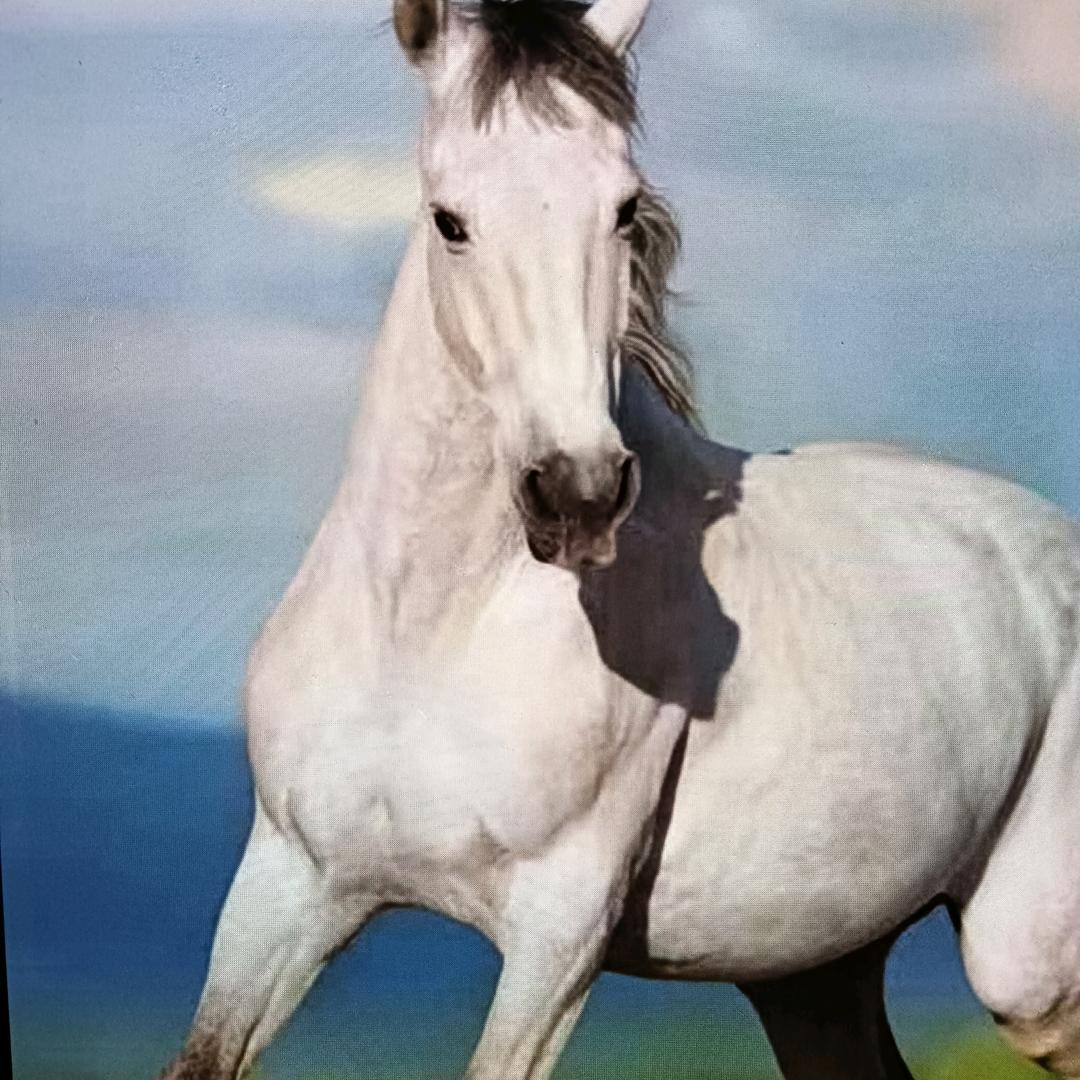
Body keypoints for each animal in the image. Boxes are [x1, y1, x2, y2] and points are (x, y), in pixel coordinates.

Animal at [160, 2, 1080, 1077]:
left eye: (624, 207)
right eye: (449, 218)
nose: (580, 494)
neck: (426, 634)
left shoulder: (558, 931)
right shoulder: (287, 884)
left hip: (1030, 968)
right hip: (813, 970)